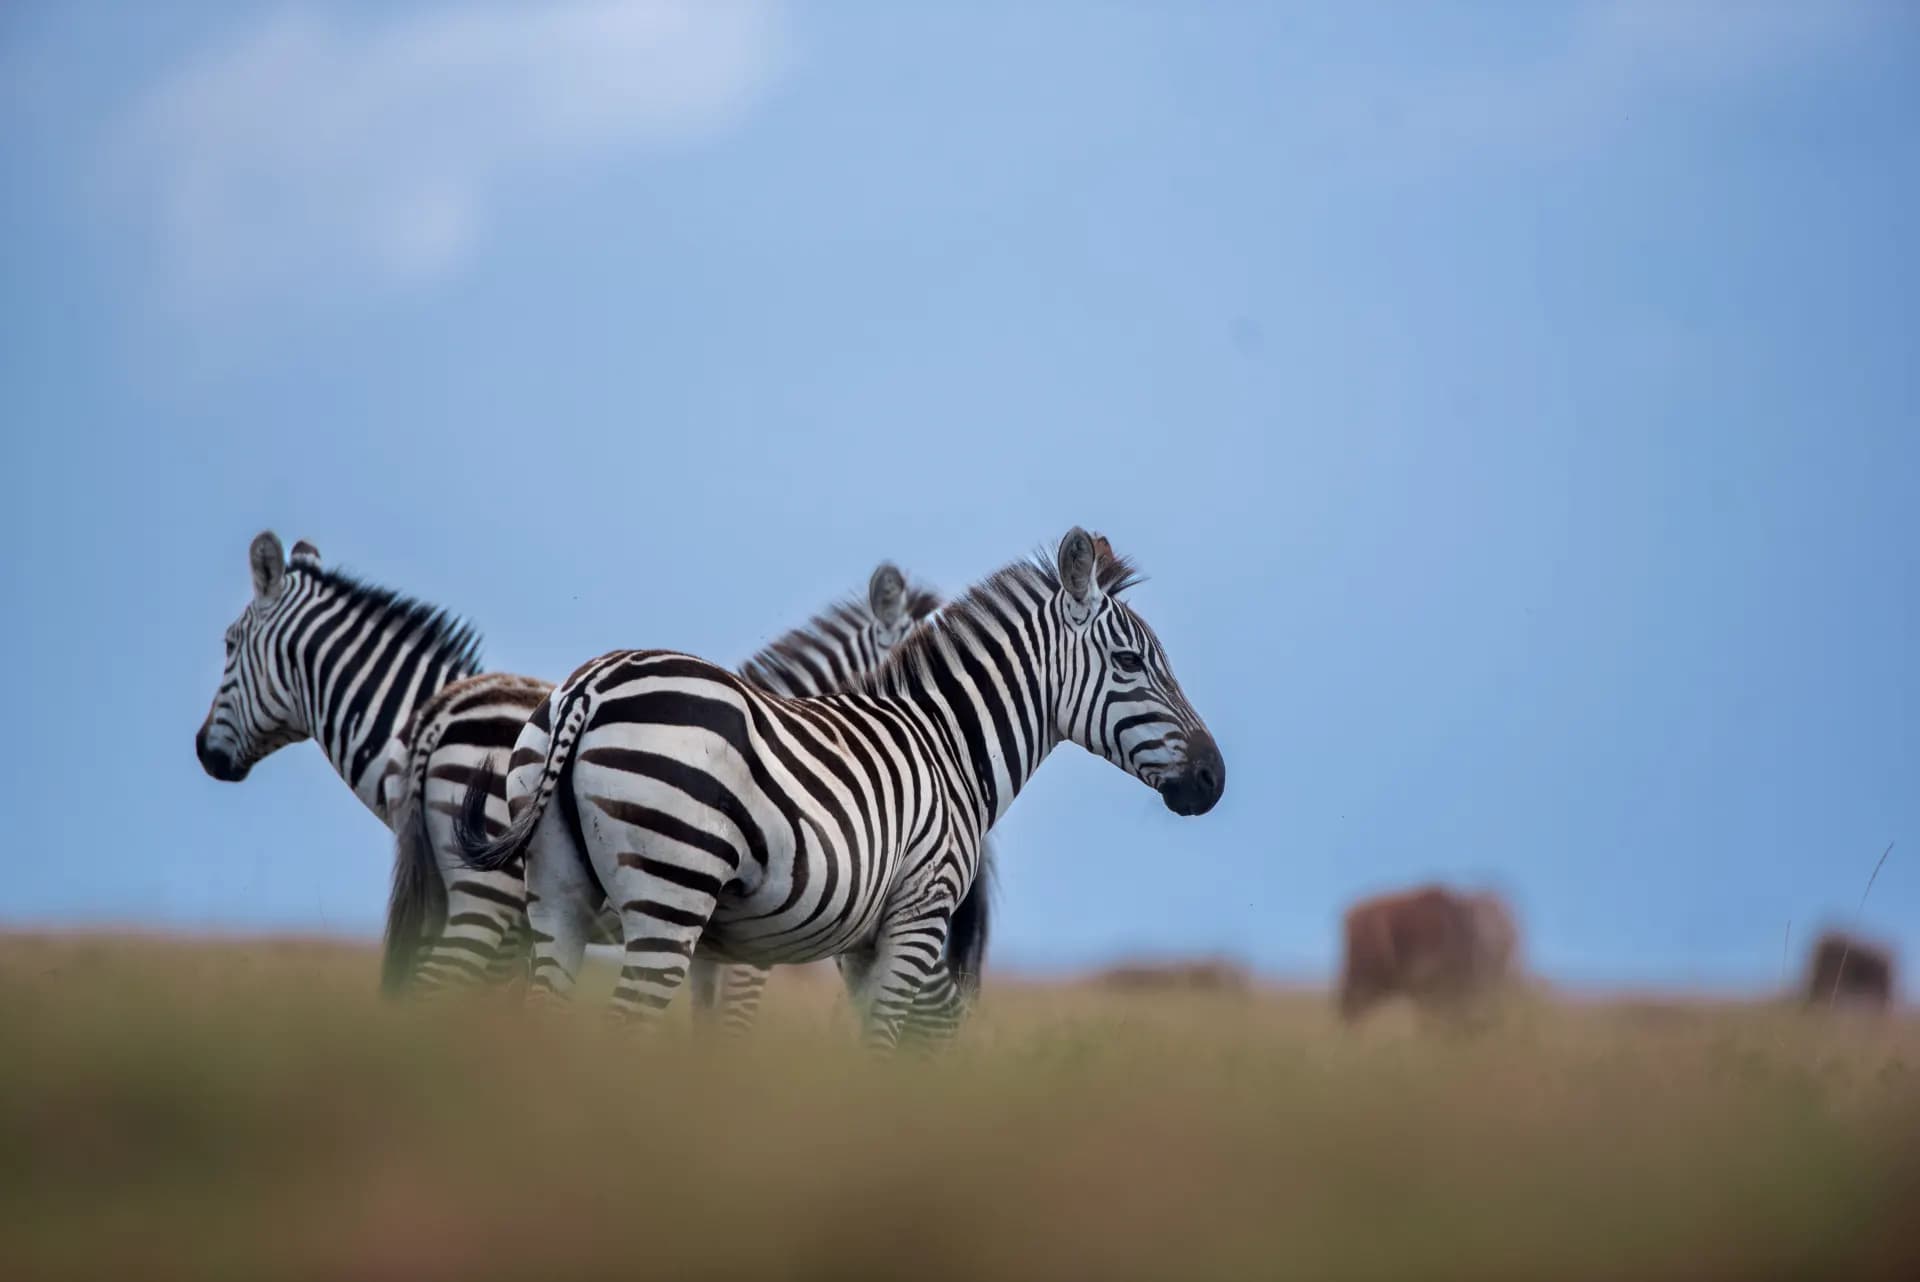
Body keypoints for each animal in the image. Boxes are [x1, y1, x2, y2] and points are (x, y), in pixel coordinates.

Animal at [455, 526, 1225, 1050]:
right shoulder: (915, 919)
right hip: (667, 893)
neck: (948, 744)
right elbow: (881, 1050)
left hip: (556, 896)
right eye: (1130, 662)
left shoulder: (857, 945)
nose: (1213, 779)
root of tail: (591, 685)